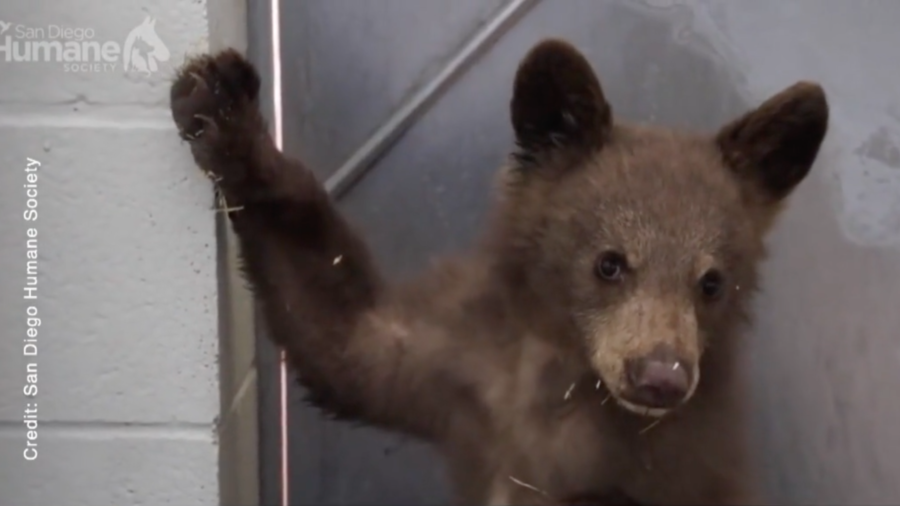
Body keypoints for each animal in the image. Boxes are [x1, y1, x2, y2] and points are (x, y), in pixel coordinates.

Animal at [168, 39, 828, 505]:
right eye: (609, 262)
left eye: (712, 280)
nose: (660, 376)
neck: (562, 381)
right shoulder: (461, 372)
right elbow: (343, 334)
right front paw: (220, 105)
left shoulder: (684, 462)